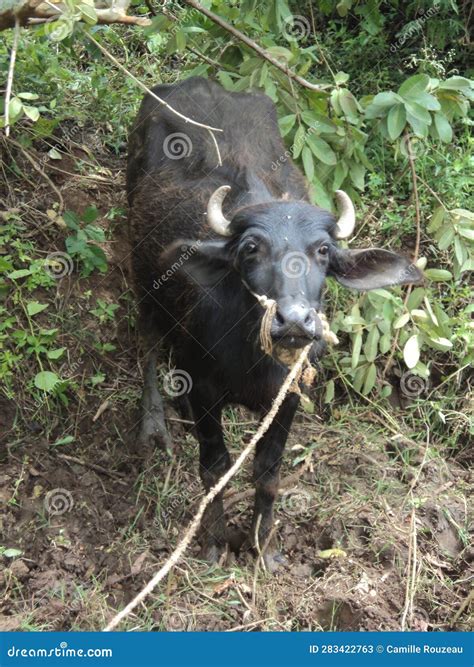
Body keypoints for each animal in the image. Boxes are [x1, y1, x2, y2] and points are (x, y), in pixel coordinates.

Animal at [127, 77, 422, 568]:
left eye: (322, 250)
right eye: (250, 248)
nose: (295, 320)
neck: (252, 357)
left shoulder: (288, 398)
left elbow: (268, 472)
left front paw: (263, 546)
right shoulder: (206, 389)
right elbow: (214, 467)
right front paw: (214, 543)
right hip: (141, 277)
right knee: (148, 342)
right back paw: (154, 425)